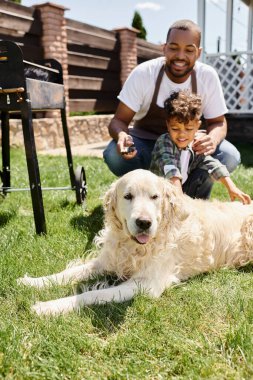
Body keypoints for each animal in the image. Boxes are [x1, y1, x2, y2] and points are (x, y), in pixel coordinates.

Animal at [18, 169, 253, 314]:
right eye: (128, 196)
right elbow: (67, 273)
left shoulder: (147, 284)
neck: (133, 246)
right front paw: (33, 282)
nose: (144, 223)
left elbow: (93, 293)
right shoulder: (106, 261)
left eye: (155, 197)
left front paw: (49, 307)